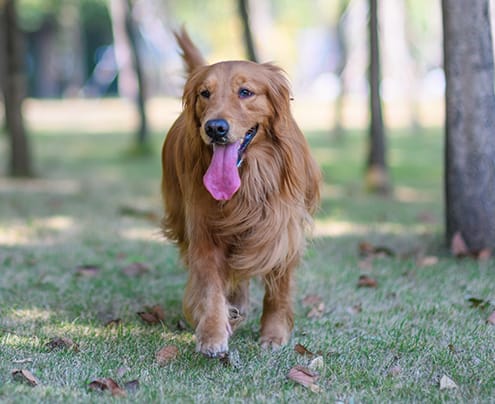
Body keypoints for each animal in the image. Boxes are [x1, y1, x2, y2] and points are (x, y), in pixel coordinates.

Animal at [161, 29, 320, 356]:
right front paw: (212, 333)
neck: (248, 180)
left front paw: (273, 334)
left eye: (245, 92)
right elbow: (210, 286)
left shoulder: (282, 229)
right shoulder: (204, 230)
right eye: (204, 94)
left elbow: (278, 288)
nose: (215, 128)